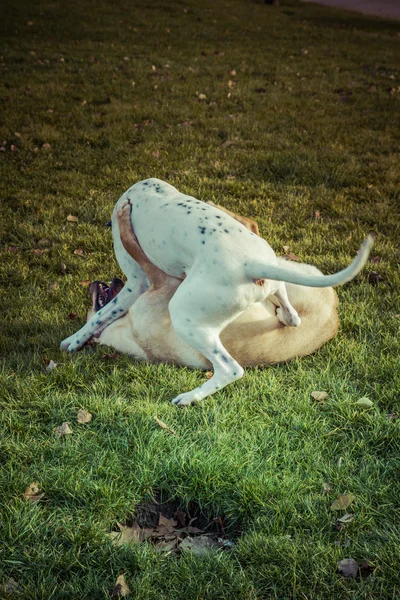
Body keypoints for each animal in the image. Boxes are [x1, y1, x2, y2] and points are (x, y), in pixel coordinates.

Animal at [88, 206, 338, 372]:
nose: (93, 283)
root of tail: (335, 315)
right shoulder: (163, 283)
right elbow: (133, 245)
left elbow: (134, 247)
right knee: (253, 231)